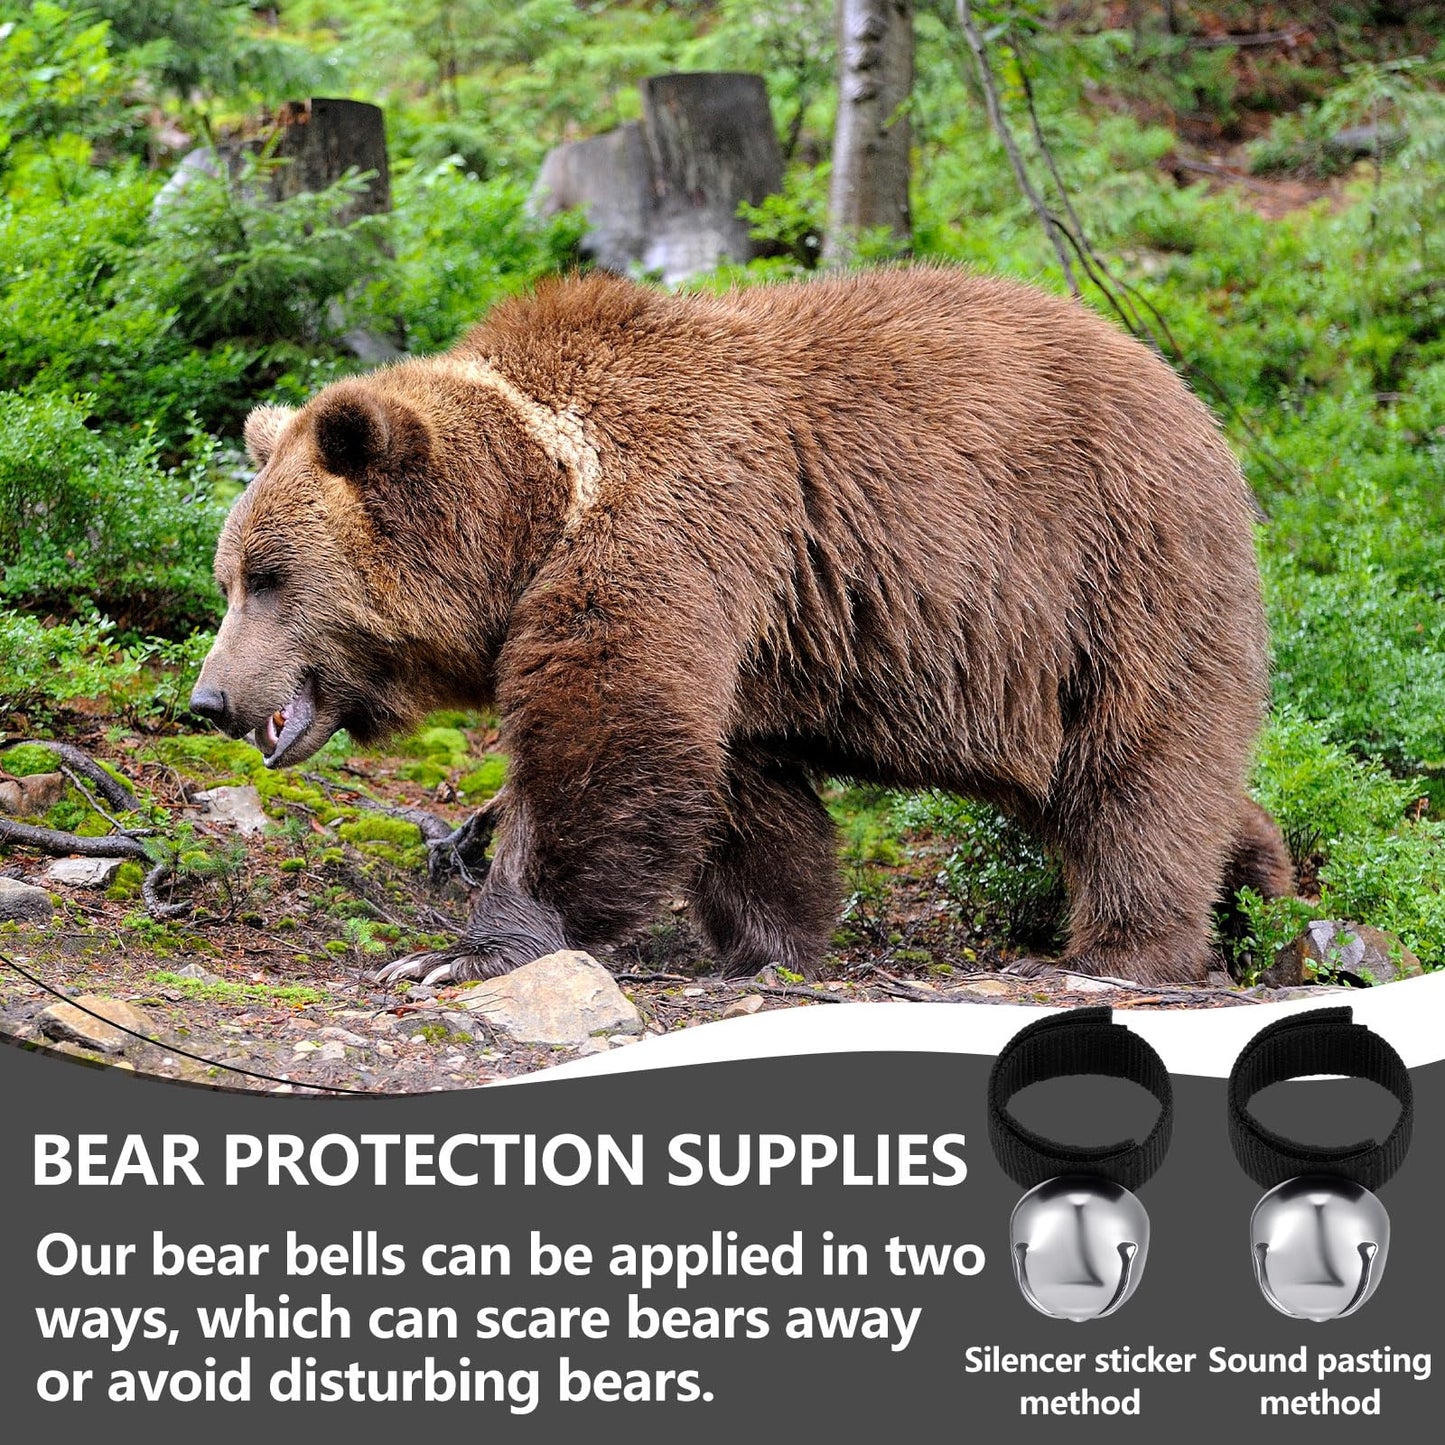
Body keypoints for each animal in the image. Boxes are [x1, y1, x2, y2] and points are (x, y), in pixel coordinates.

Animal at [189, 266, 1293, 987]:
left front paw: (460, 948)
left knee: (1136, 770)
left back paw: (1128, 948)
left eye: (271, 578)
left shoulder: (672, 532)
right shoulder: (751, 622)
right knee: (1125, 780)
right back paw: (1261, 889)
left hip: (1110, 574)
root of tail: (1191, 400)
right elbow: (738, 786)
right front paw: (769, 944)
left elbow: (610, 740)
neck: (539, 505)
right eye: (227, 574)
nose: (209, 696)